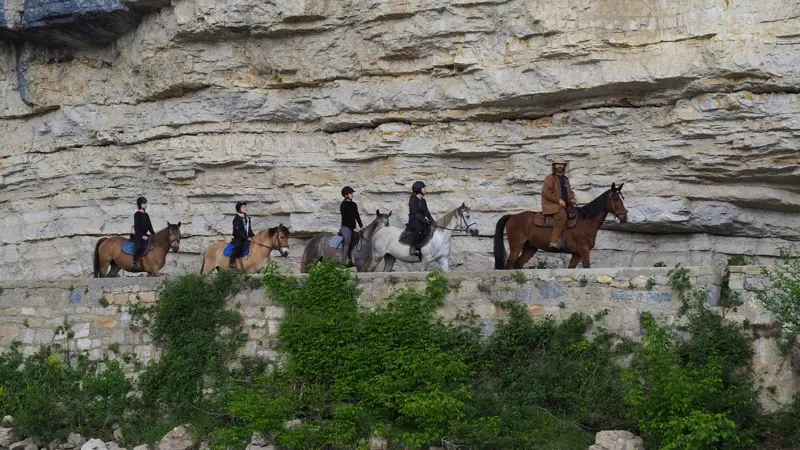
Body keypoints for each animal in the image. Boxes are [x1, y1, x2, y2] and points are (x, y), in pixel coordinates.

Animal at [490, 181, 628, 268]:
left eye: (622, 198)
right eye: (615, 199)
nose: (624, 217)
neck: (586, 220)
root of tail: (512, 216)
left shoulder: (576, 254)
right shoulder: (584, 251)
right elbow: (586, 267)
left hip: (530, 249)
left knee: (518, 265)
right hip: (516, 246)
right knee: (509, 266)